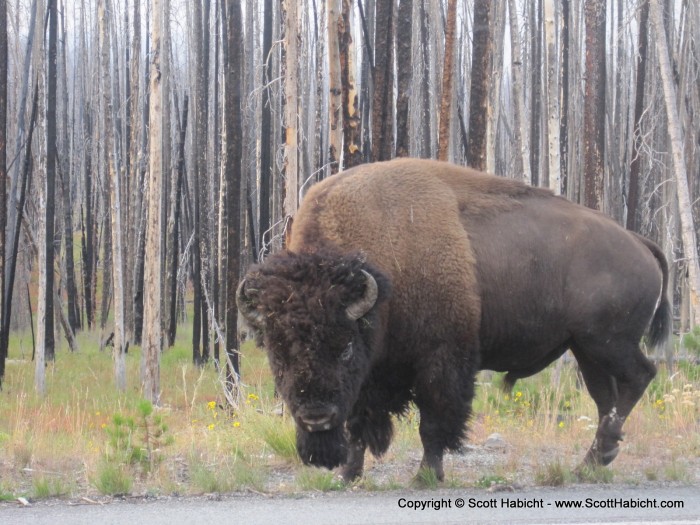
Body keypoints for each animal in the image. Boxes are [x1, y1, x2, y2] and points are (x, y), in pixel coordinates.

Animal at [237, 158, 672, 482]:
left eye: (343, 347)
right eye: (278, 353)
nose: (315, 417)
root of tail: (639, 242)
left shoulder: (441, 358)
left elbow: (433, 421)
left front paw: (425, 476)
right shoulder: (371, 373)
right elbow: (359, 421)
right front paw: (348, 474)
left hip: (609, 342)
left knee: (638, 377)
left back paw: (601, 453)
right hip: (585, 348)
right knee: (605, 396)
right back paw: (592, 463)